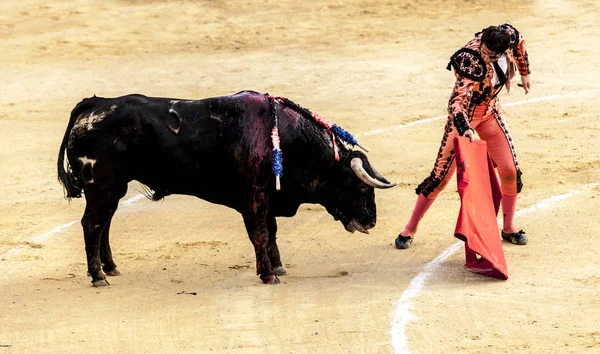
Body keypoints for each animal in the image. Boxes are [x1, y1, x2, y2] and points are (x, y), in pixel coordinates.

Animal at [55, 90, 394, 286]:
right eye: (360, 188)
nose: (371, 221)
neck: (289, 142)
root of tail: (93, 104)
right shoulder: (254, 198)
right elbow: (260, 233)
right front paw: (268, 275)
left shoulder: (268, 198)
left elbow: (271, 232)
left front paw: (278, 267)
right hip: (102, 186)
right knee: (92, 224)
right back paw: (98, 277)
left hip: (112, 188)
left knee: (104, 225)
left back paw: (110, 268)